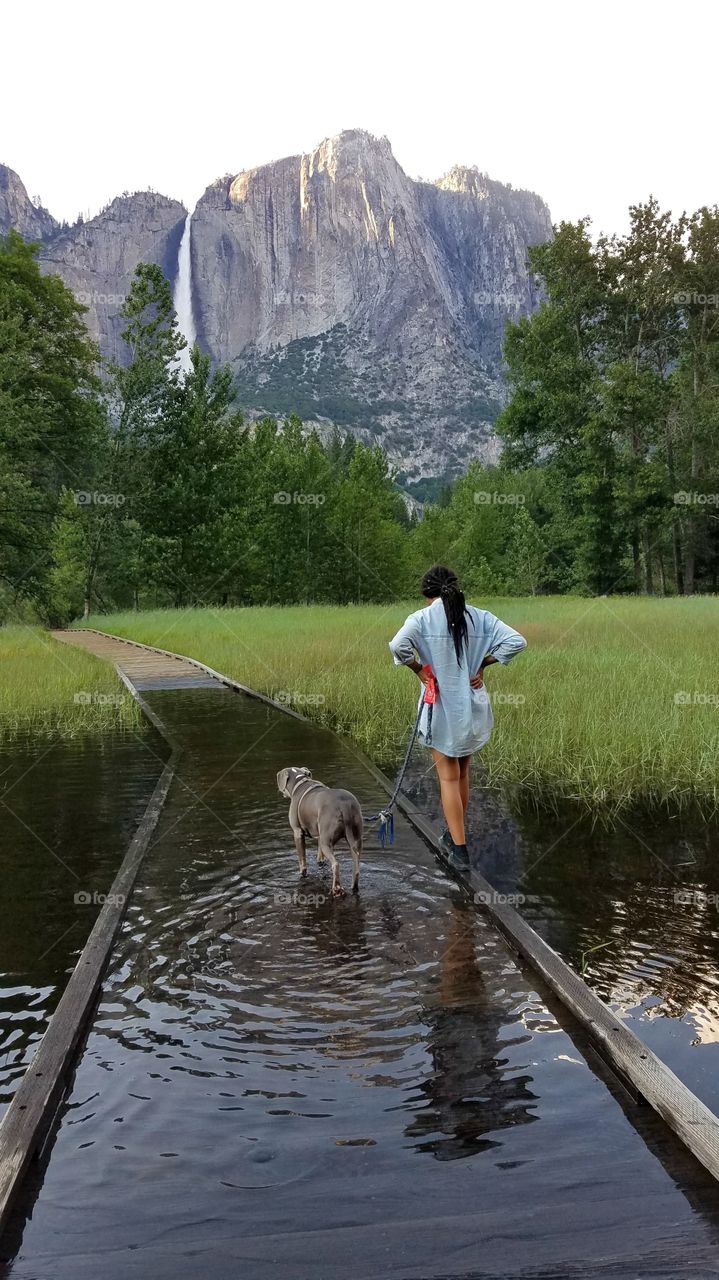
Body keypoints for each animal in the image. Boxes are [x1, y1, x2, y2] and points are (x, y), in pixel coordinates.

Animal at [275, 762, 363, 896]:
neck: (299, 781)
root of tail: (344, 805)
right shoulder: (319, 835)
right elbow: (319, 855)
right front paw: (320, 862)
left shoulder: (297, 832)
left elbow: (302, 859)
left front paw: (302, 874)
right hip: (355, 838)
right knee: (356, 865)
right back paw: (353, 887)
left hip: (326, 840)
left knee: (336, 864)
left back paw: (336, 889)